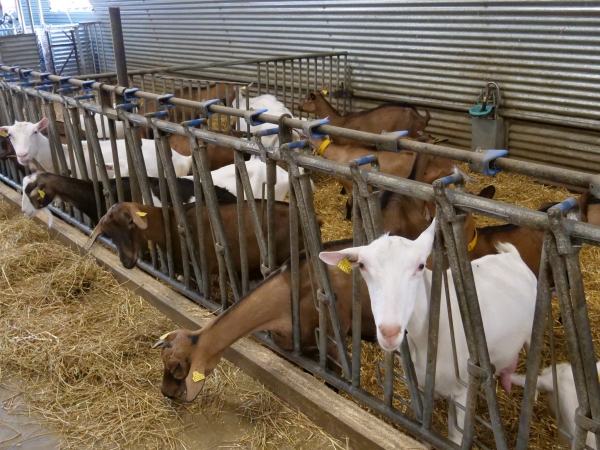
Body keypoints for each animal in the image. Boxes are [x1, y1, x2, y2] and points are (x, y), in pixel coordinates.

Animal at [322, 220, 536, 444]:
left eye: (421, 266)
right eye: (362, 266)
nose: (389, 331)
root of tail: (512, 256)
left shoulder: (462, 391)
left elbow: (455, 437)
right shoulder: (422, 384)